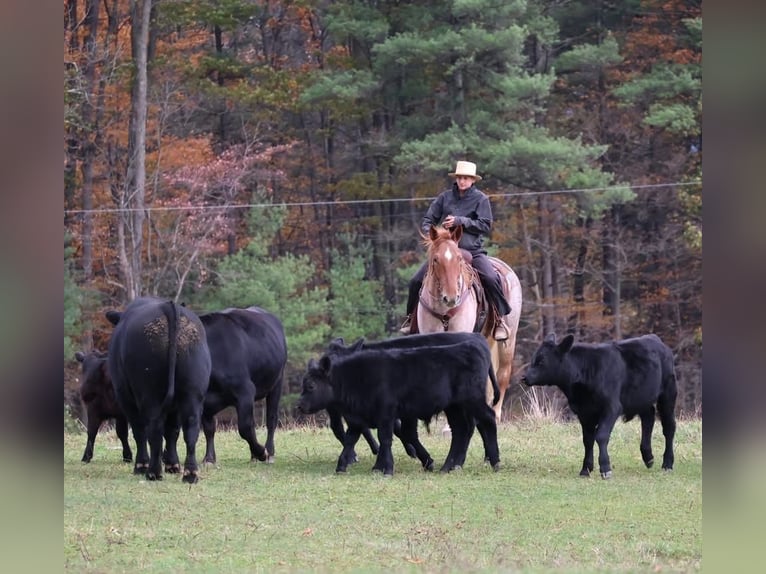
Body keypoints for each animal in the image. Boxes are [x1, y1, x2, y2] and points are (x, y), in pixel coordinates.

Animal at [415, 225, 522, 423]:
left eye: (458, 258)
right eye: (435, 259)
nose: (451, 298)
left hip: (508, 341)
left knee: (503, 375)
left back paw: (495, 414)